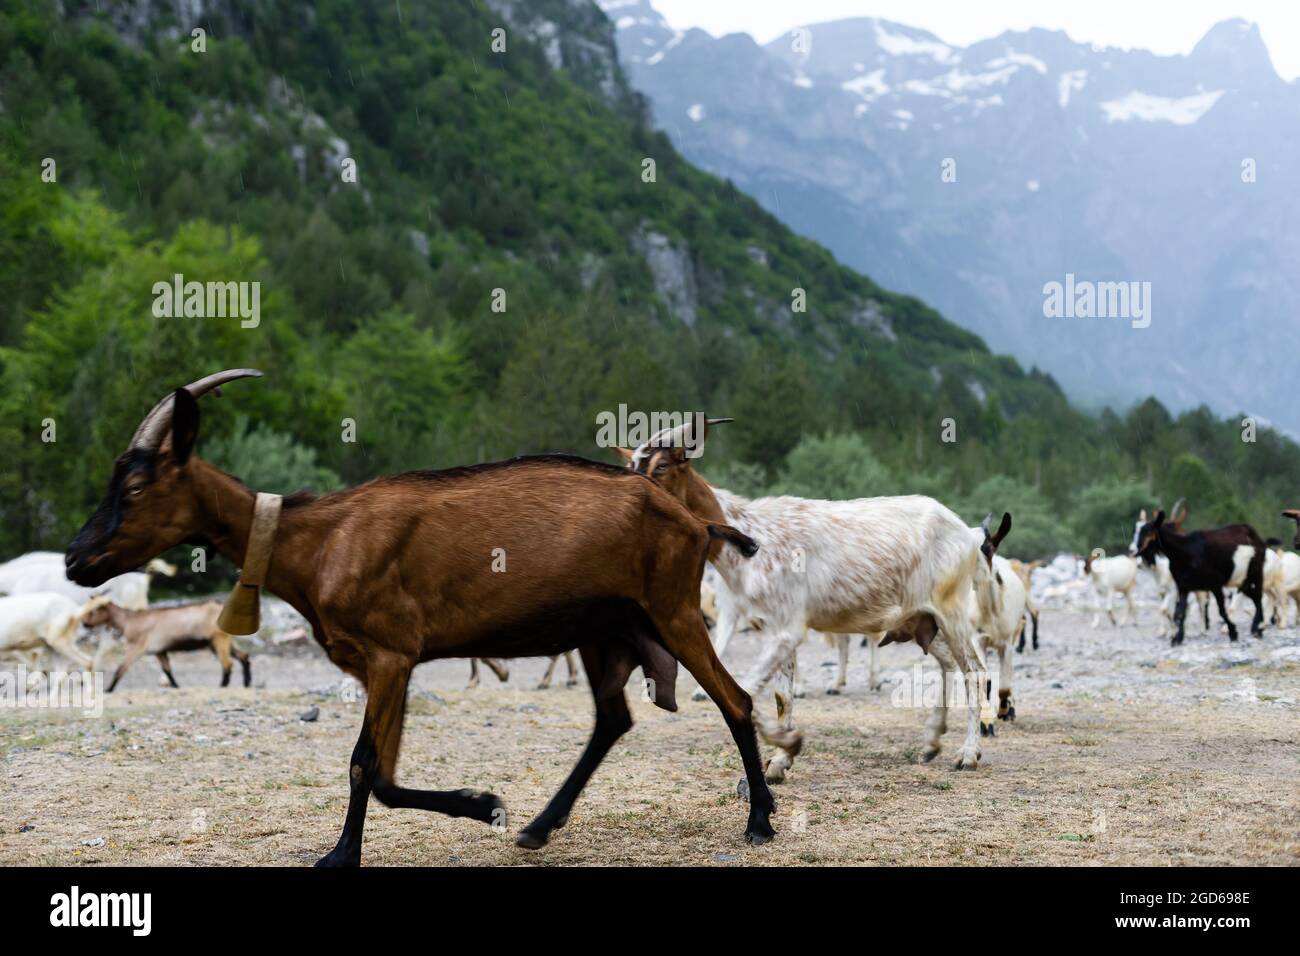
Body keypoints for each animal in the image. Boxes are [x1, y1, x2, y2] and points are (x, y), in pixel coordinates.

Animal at [80, 600, 251, 691]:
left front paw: (109, 689)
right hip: (222, 640)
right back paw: (247, 682)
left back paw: (223, 685)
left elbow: (121, 668)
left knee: (227, 663)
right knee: (244, 655)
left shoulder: (137, 646)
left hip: (218, 639)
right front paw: (176, 686)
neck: (129, 621)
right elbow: (167, 669)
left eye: (94, 610)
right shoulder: (159, 650)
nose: (85, 623)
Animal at [620, 419, 989, 777]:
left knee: (974, 670)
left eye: (662, 465)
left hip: (951, 610)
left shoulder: (786, 628)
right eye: (629, 465)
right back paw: (932, 742)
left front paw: (785, 748)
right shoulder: (771, 628)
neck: (751, 537)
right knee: (948, 663)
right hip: (920, 619)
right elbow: (781, 695)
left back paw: (968, 754)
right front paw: (780, 761)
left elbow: (746, 691)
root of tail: (968, 533)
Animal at [1133, 510, 1265, 644]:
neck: (1184, 552)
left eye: (1149, 532)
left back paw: (1257, 628)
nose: (1136, 550)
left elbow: (1222, 611)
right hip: (1241, 580)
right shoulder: (1183, 586)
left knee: (1258, 596)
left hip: (1256, 572)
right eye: (1137, 531)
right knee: (1254, 597)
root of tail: (1252, 532)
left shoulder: (1215, 584)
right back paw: (1257, 628)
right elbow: (1180, 612)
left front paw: (1233, 633)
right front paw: (1177, 638)